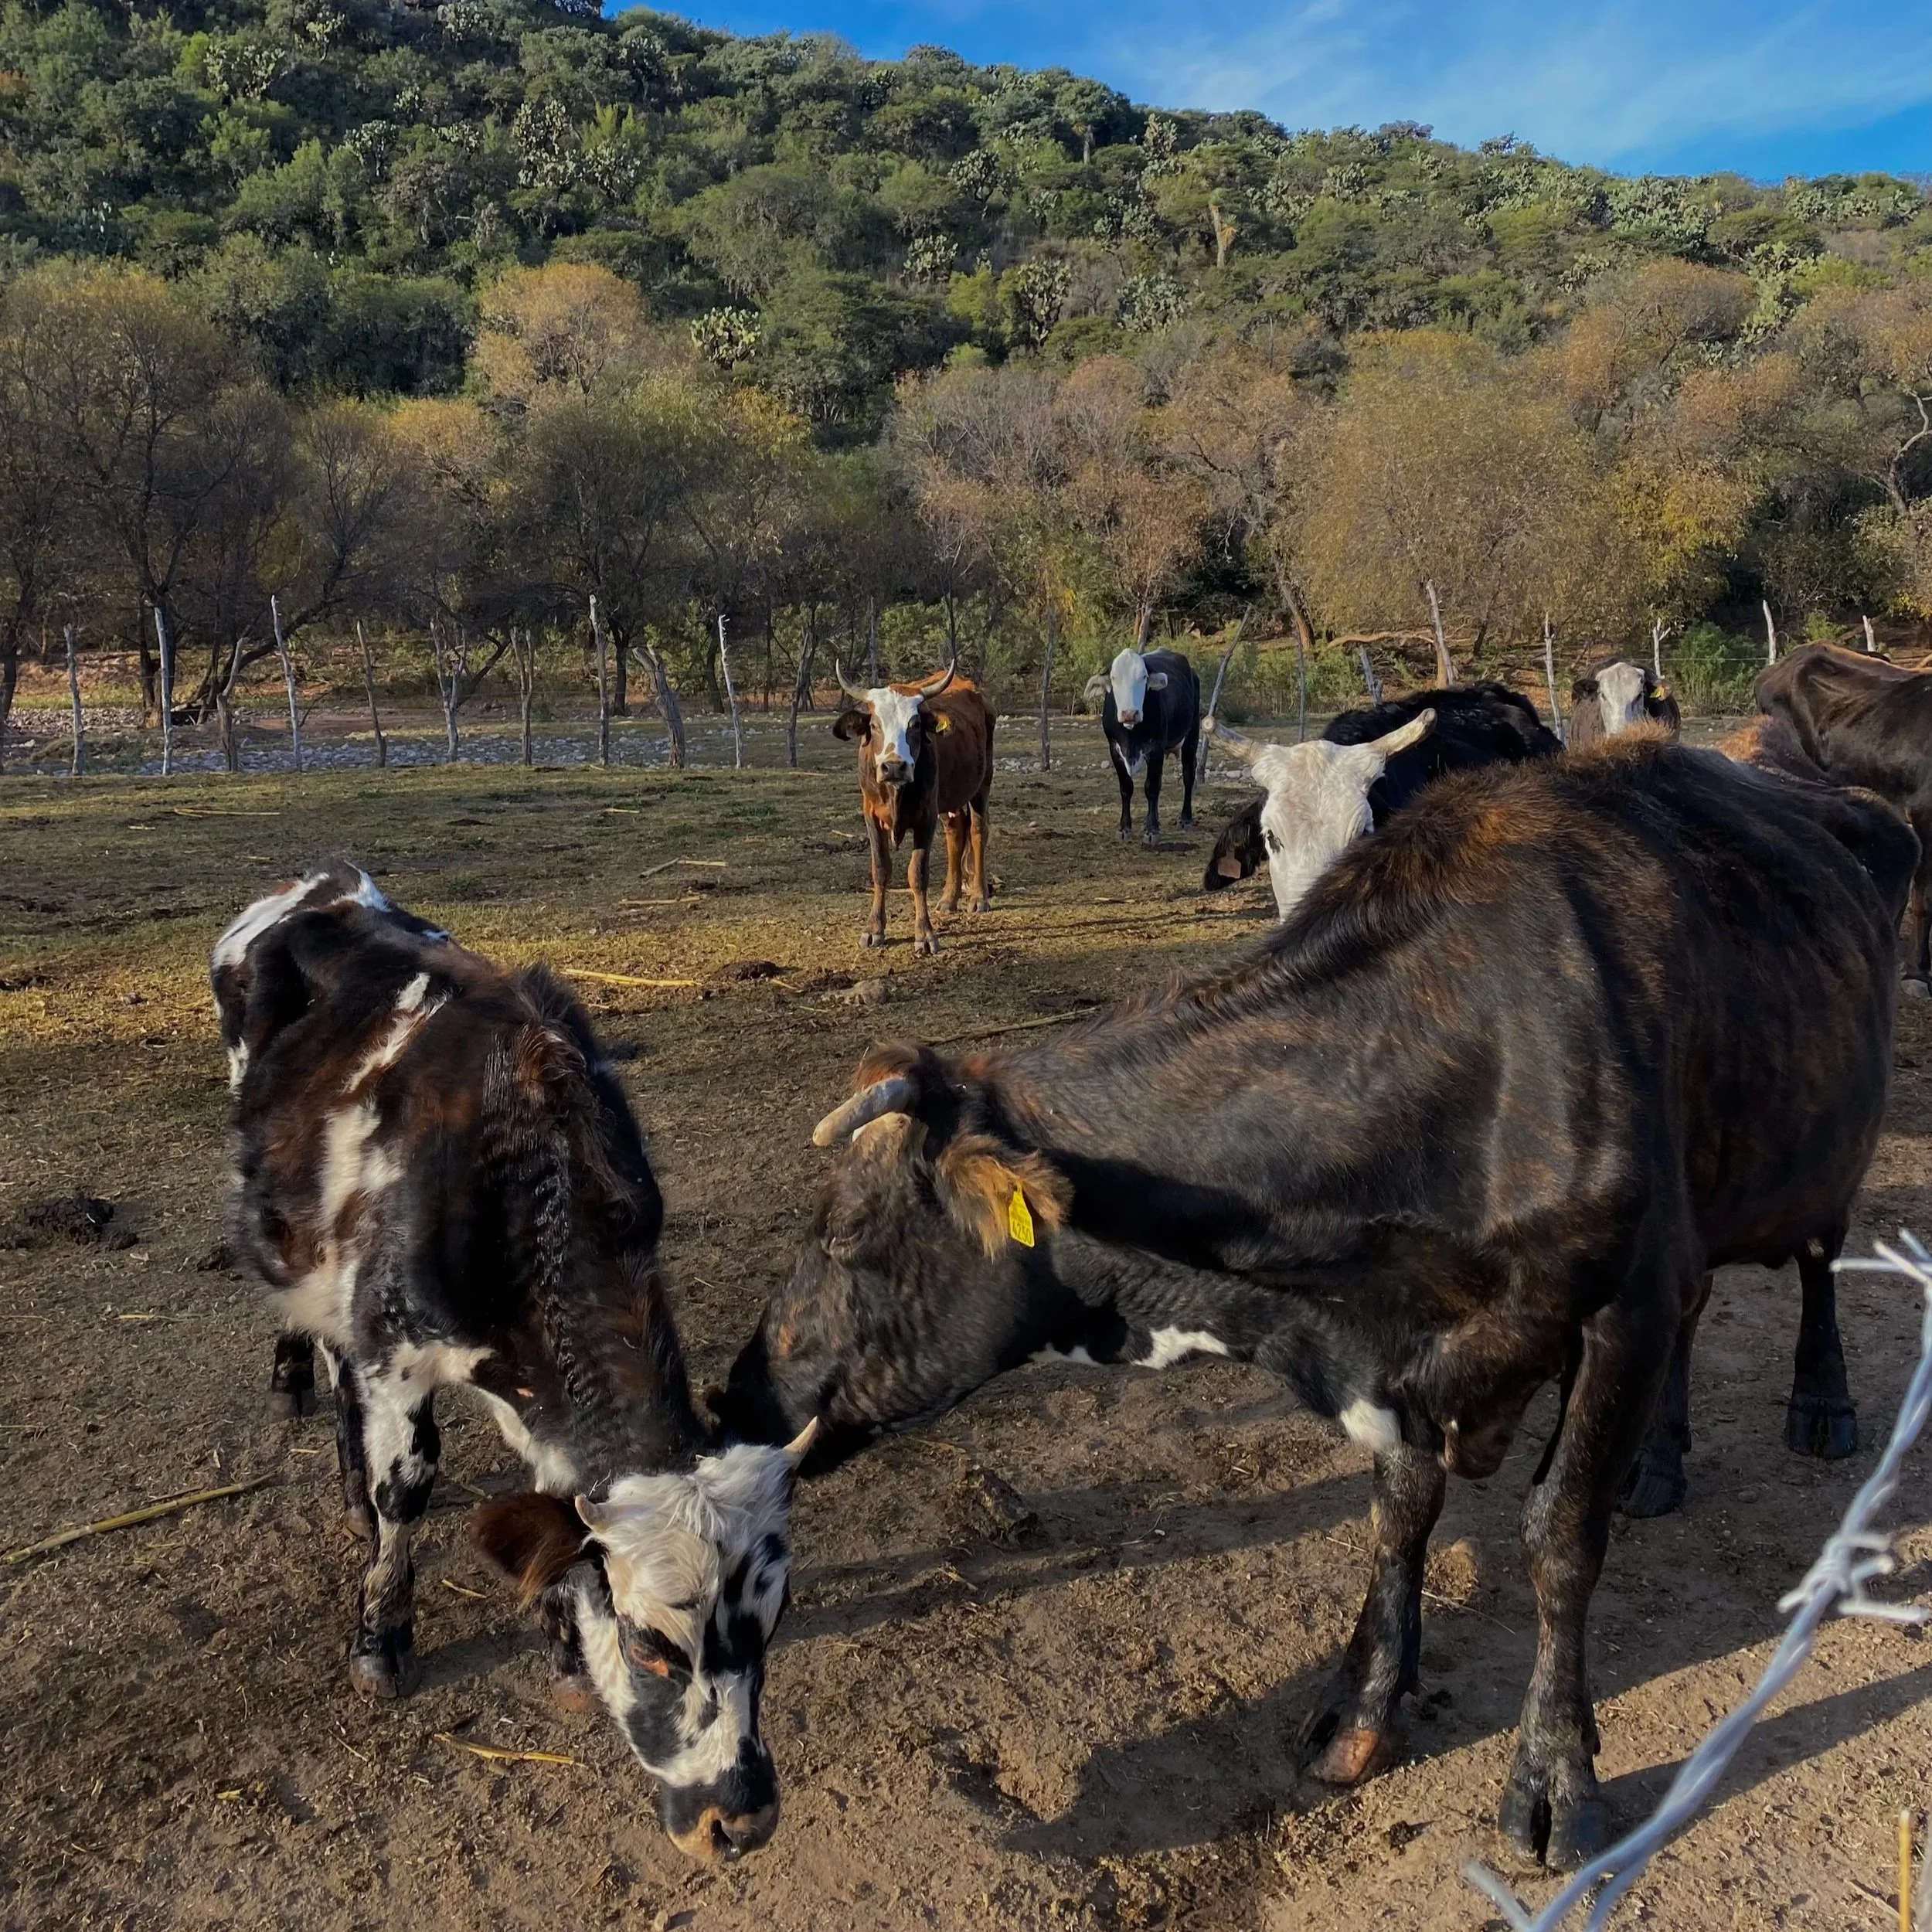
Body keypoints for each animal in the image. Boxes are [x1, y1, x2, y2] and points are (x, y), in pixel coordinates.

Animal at [212, 866, 814, 1863]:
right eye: (651, 1644)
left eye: (774, 1624)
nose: (741, 1818)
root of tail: (320, 883)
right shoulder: (395, 1354)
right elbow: (406, 1489)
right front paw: (380, 1640)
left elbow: (553, 1512)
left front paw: (564, 1649)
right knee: (314, 1336)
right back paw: (299, 1391)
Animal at [718, 738, 1912, 1871]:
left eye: (844, 1233)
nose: (738, 1393)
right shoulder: (1397, 1357)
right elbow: (1401, 1512)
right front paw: (1362, 1705)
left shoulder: (1624, 1303)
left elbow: (1560, 1534)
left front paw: (1554, 1777)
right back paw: (1660, 1461)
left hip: (1820, 1157)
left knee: (1816, 1261)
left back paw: (1819, 1407)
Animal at [833, 661, 995, 957]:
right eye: (874, 724)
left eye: (915, 724)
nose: (895, 766)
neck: (896, 793)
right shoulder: (871, 815)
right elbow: (881, 869)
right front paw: (874, 929)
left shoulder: (925, 817)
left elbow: (917, 873)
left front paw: (925, 934)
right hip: (949, 801)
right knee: (956, 832)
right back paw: (948, 898)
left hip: (982, 784)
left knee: (978, 831)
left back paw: (979, 897)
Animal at [1102, 645, 1201, 845]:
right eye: (1114, 678)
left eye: (1144, 677)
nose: (1129, 713)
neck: (1131, 737)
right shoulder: (1114, 748)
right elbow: (1126, 788)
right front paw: (1124, 828)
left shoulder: (1155, 749)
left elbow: (1152, 788)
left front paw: (1152, 831)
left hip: (1192, 736)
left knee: (1188, 775)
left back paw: (1185, 818)